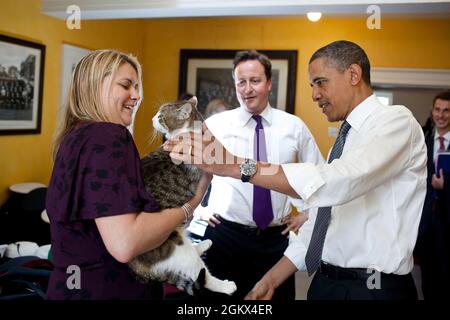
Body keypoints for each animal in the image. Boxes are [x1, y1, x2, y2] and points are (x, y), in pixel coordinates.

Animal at [127, 96, 236, 296]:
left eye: (160, 116)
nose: (152, 119)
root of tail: (135, 266)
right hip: (178, 249)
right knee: (202, 276)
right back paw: (227, 286)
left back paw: (204, 244)